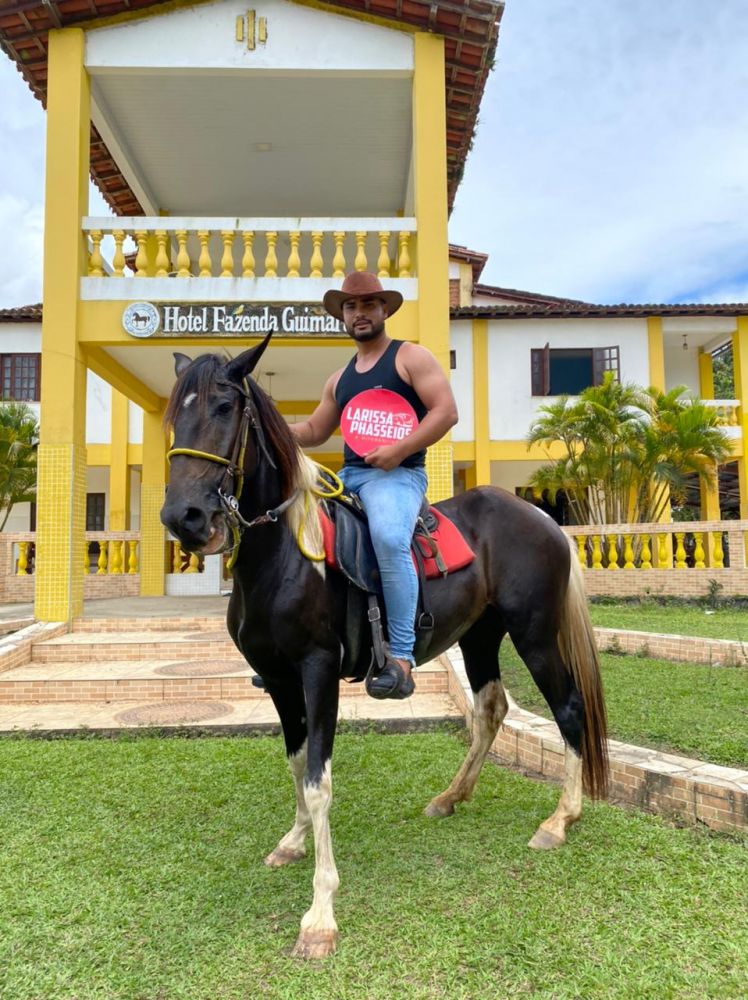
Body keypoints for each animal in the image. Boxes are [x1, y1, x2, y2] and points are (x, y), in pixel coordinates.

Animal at [159, 336, 608, 960]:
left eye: (226, 409)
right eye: (174, 416)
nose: (185, 519)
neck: (283, 556)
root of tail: (542, 514)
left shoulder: (317, 671)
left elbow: (319, 781)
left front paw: (320, 914)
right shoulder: (277, 679)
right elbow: (297, 763)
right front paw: (293, 841)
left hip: (535, 634)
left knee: (567, 708)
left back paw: (560, 819)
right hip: (480, 636)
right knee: (491, 709)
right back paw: (451, 797)